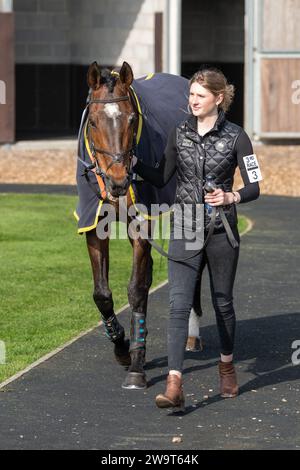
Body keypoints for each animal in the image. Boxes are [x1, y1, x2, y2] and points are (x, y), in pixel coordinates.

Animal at [74, 61, 202, 390]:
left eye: (132, 118)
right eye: (94, 122)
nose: (119, 181)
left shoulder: (142, 223)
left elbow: (136, 289)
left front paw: (136, 366)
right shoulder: (93, 222)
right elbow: (102, 293)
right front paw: (121, 346)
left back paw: (193, 333)